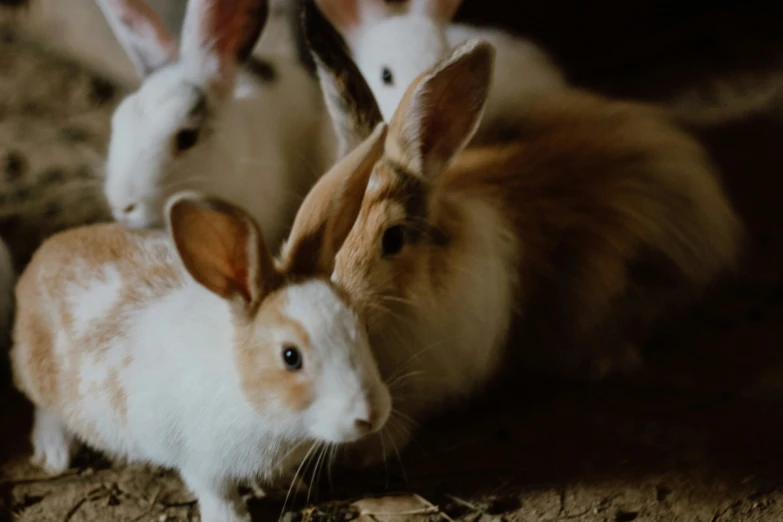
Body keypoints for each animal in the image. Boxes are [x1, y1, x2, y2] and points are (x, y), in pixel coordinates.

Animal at [10, 129, 392, 520]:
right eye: (290, 357)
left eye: (358, 325)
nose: (371, 415)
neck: (244, 384)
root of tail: (42, 256)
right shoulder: (204, 465)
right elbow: (218, 494)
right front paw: (231, 518)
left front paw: (289, 486)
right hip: (41, 376)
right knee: (45, 410)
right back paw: (54, 455)